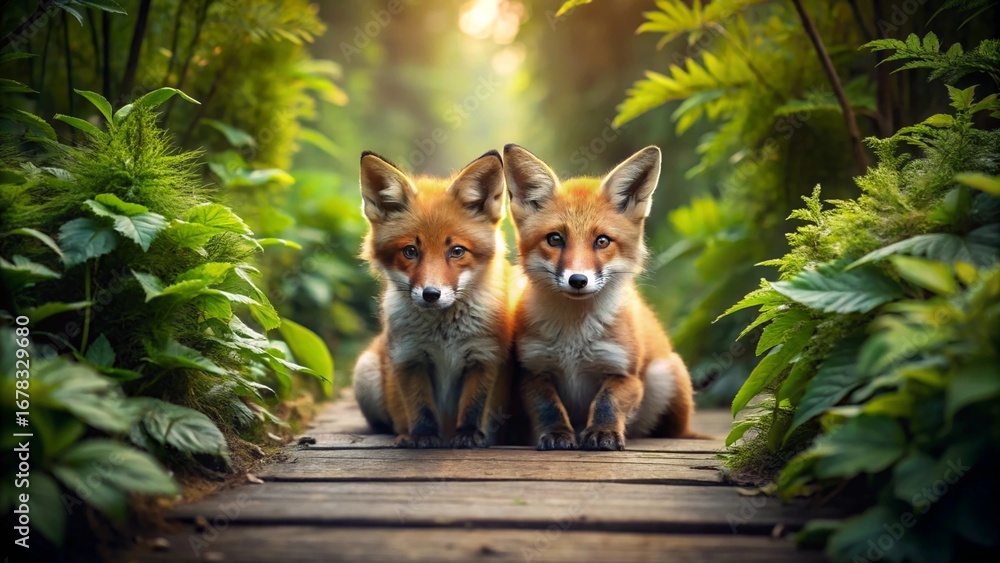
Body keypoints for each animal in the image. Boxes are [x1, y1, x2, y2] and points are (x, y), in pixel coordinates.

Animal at [352, 150, 512, 448]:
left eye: (457, 251)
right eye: (410, 251)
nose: (431, 294)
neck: (444, 336)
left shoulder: (484, 356)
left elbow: (473, 406)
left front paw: (468, 434)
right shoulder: (410, 357)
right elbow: (419, 406)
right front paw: (423, 436)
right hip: (365, 373)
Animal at [504, 144, 697, 451]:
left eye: (602, 241)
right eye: (555, 239)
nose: (578, 280)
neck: (573, 338)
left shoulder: (625, 373)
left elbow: (608, 401)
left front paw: (603, 432)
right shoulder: (533, 370)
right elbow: (549, 407)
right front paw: (557, 434)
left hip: (663, 373)